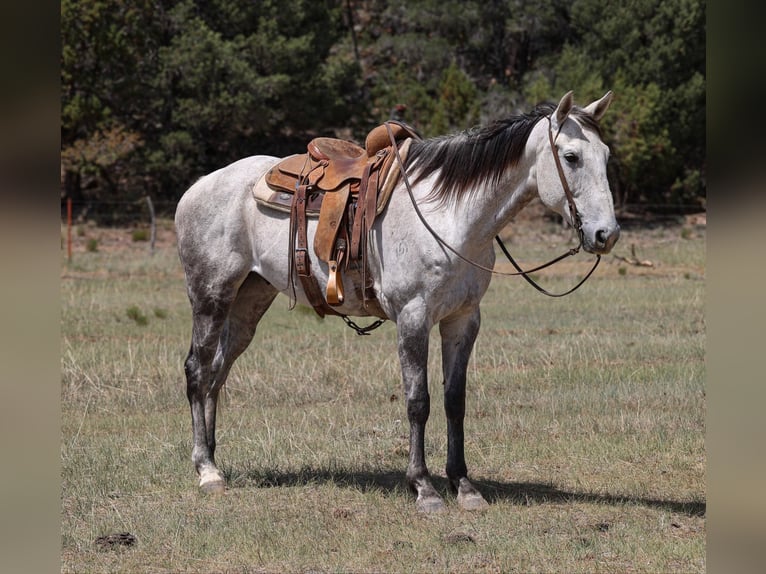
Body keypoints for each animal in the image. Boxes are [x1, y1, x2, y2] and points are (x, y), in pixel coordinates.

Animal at [174, 91, 620, 512]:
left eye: (606, 156)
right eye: (571, 157)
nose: (607, 234)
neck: (449, 217)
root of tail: (199, 185)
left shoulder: (463, 320)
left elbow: (454, 400)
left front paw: (464, 486)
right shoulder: (413, 317)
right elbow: (418, 401)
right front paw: (423, 488)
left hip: (249, 300)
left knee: (217, 373)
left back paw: (213, 457)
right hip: (211, 294)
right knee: (198, 370)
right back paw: (206, 471)